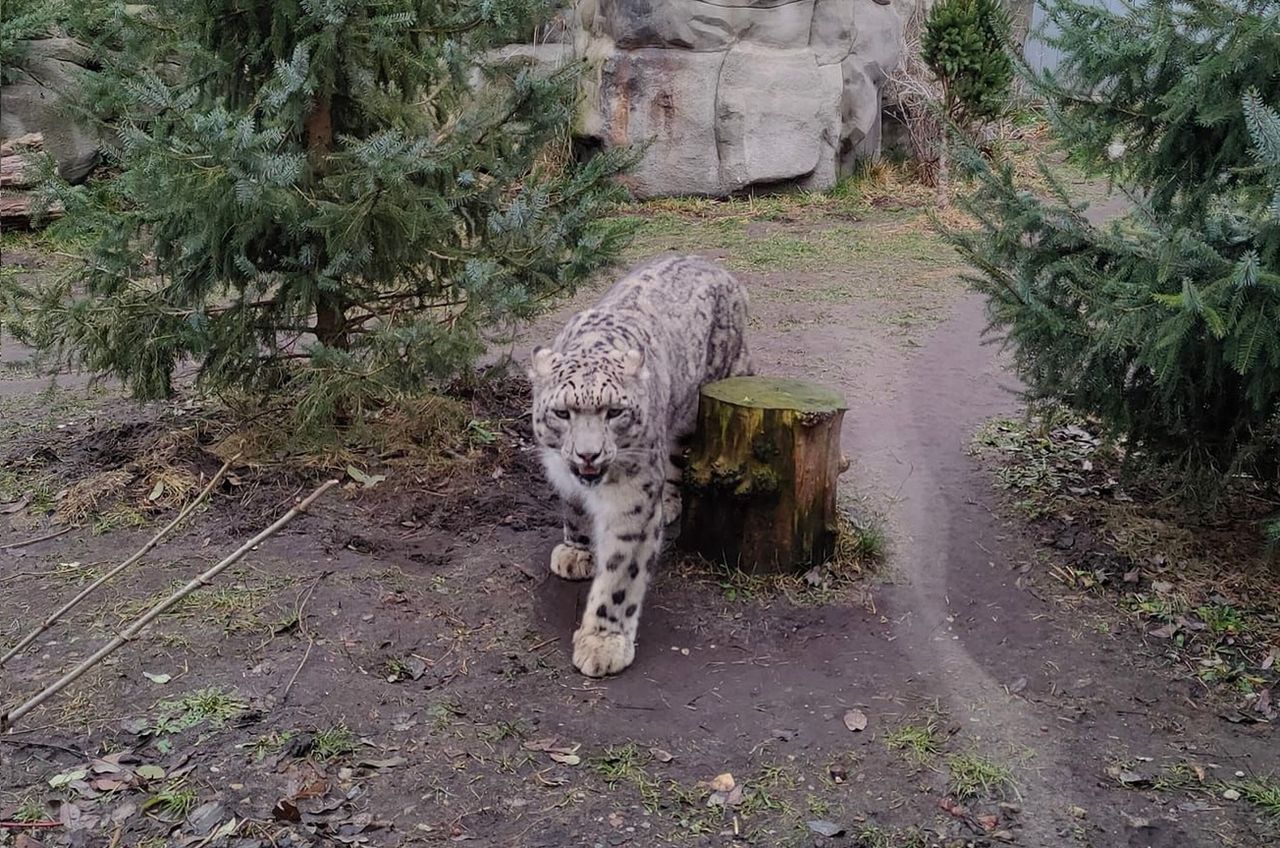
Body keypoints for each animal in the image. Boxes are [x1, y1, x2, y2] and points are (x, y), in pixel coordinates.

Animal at [527, 256, 747, 681]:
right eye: (562, 412)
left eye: (614, 412)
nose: (589, 455)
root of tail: (712, 264)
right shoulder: (562, 472)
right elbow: (574, 507)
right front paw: (576, 551)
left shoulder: (632, 501)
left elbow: (619, 575)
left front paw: (602, 643)